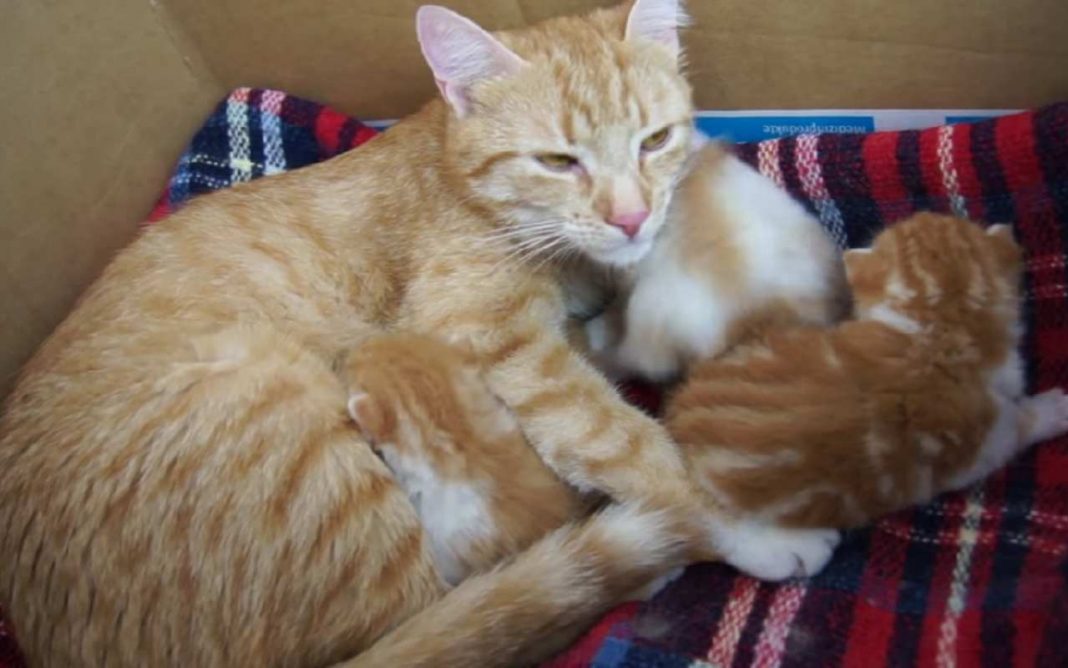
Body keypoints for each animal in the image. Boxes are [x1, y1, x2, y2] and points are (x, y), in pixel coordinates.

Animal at [0, 1, 824, 666]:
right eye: (558, 160)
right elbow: (624, 441)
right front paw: (745, 525)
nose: (631, 217)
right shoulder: (493, 338)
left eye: (654, 140)